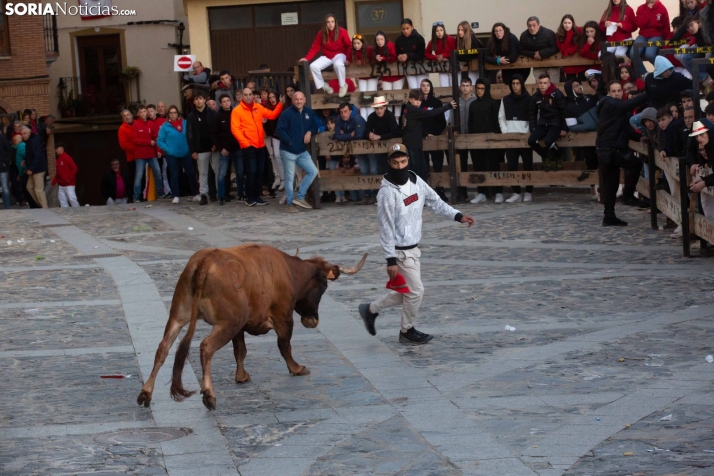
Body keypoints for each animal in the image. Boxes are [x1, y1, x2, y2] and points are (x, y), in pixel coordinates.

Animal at [135, 245, 368, 410]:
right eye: (324, 286)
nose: (313, 321)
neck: (287, 270)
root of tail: (206, 260)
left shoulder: (242, 326)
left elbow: (240, 350)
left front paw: (241, 376)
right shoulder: (283, 317)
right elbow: (285, 346)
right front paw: (296, 368)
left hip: (179, 316)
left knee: (163, 348)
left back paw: (146, 393)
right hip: (227, 323)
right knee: (206, 347)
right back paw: (209, 395)